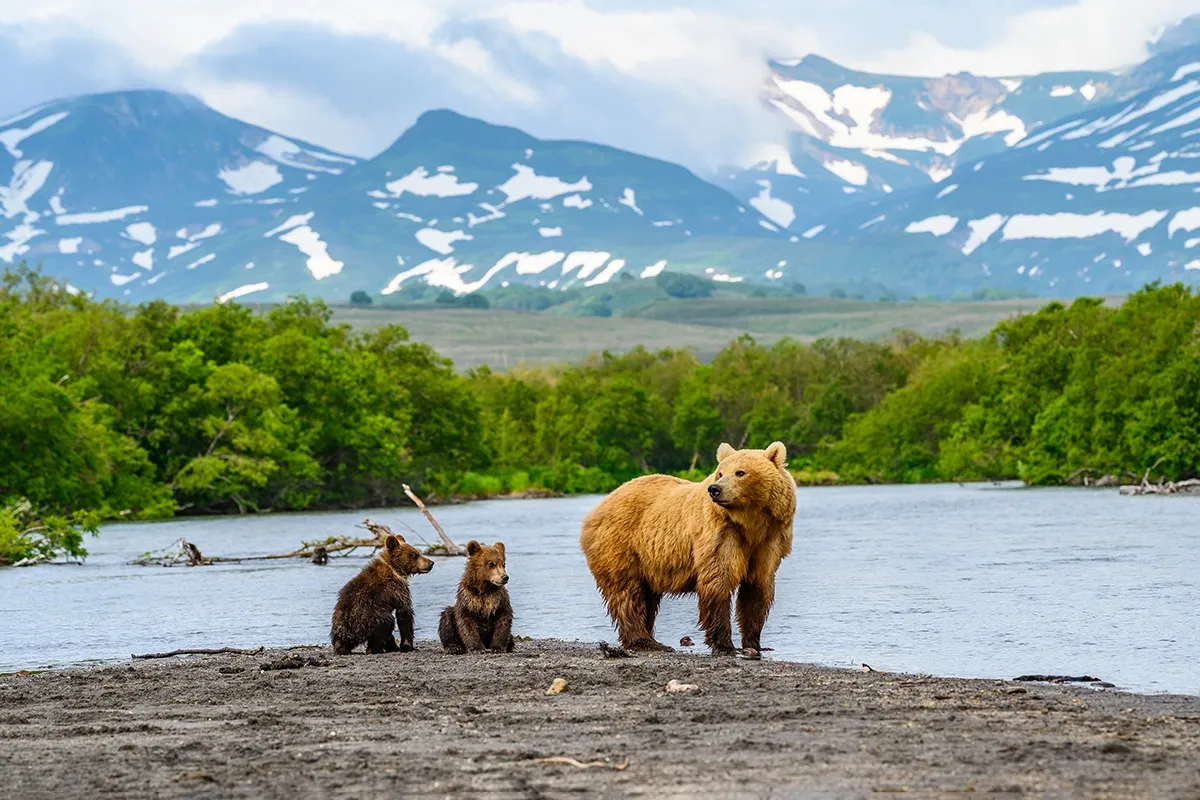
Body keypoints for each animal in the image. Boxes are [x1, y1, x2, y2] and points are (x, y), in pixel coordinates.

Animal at [579, 441, 796, 656]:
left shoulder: (769, 540)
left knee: (647, 596)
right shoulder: (720, 535)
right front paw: (725, 645)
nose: (715, 489)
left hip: (645, 562)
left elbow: (757, 589)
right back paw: (644, 641)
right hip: (621, 544)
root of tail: (598, 507)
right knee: (627, 593)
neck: (751, 524)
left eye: (740, 472)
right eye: (720, 472)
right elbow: (718, 581)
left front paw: (755, 644)